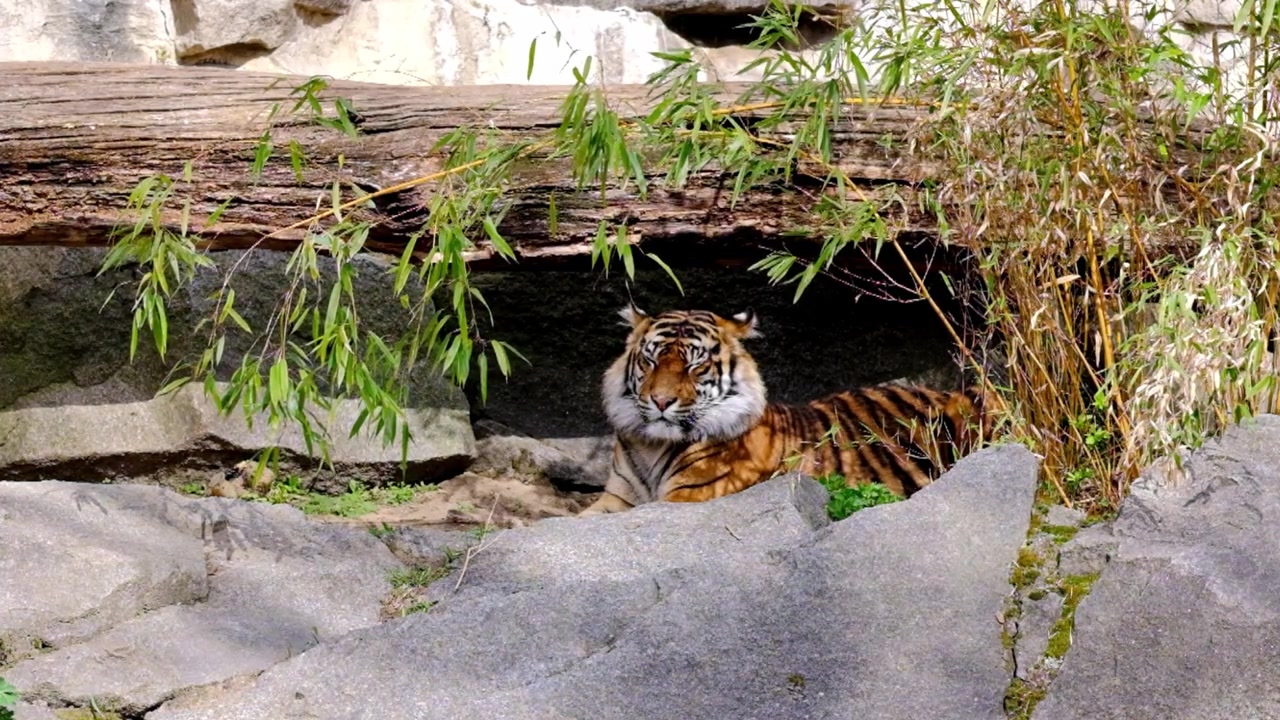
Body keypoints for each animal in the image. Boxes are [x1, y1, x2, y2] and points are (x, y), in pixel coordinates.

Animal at [578, 305, 993, 516]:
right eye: (650, 361)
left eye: (695, 366)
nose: (661, 401)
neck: (653, 445)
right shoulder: (616, 498)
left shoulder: (689, 498)